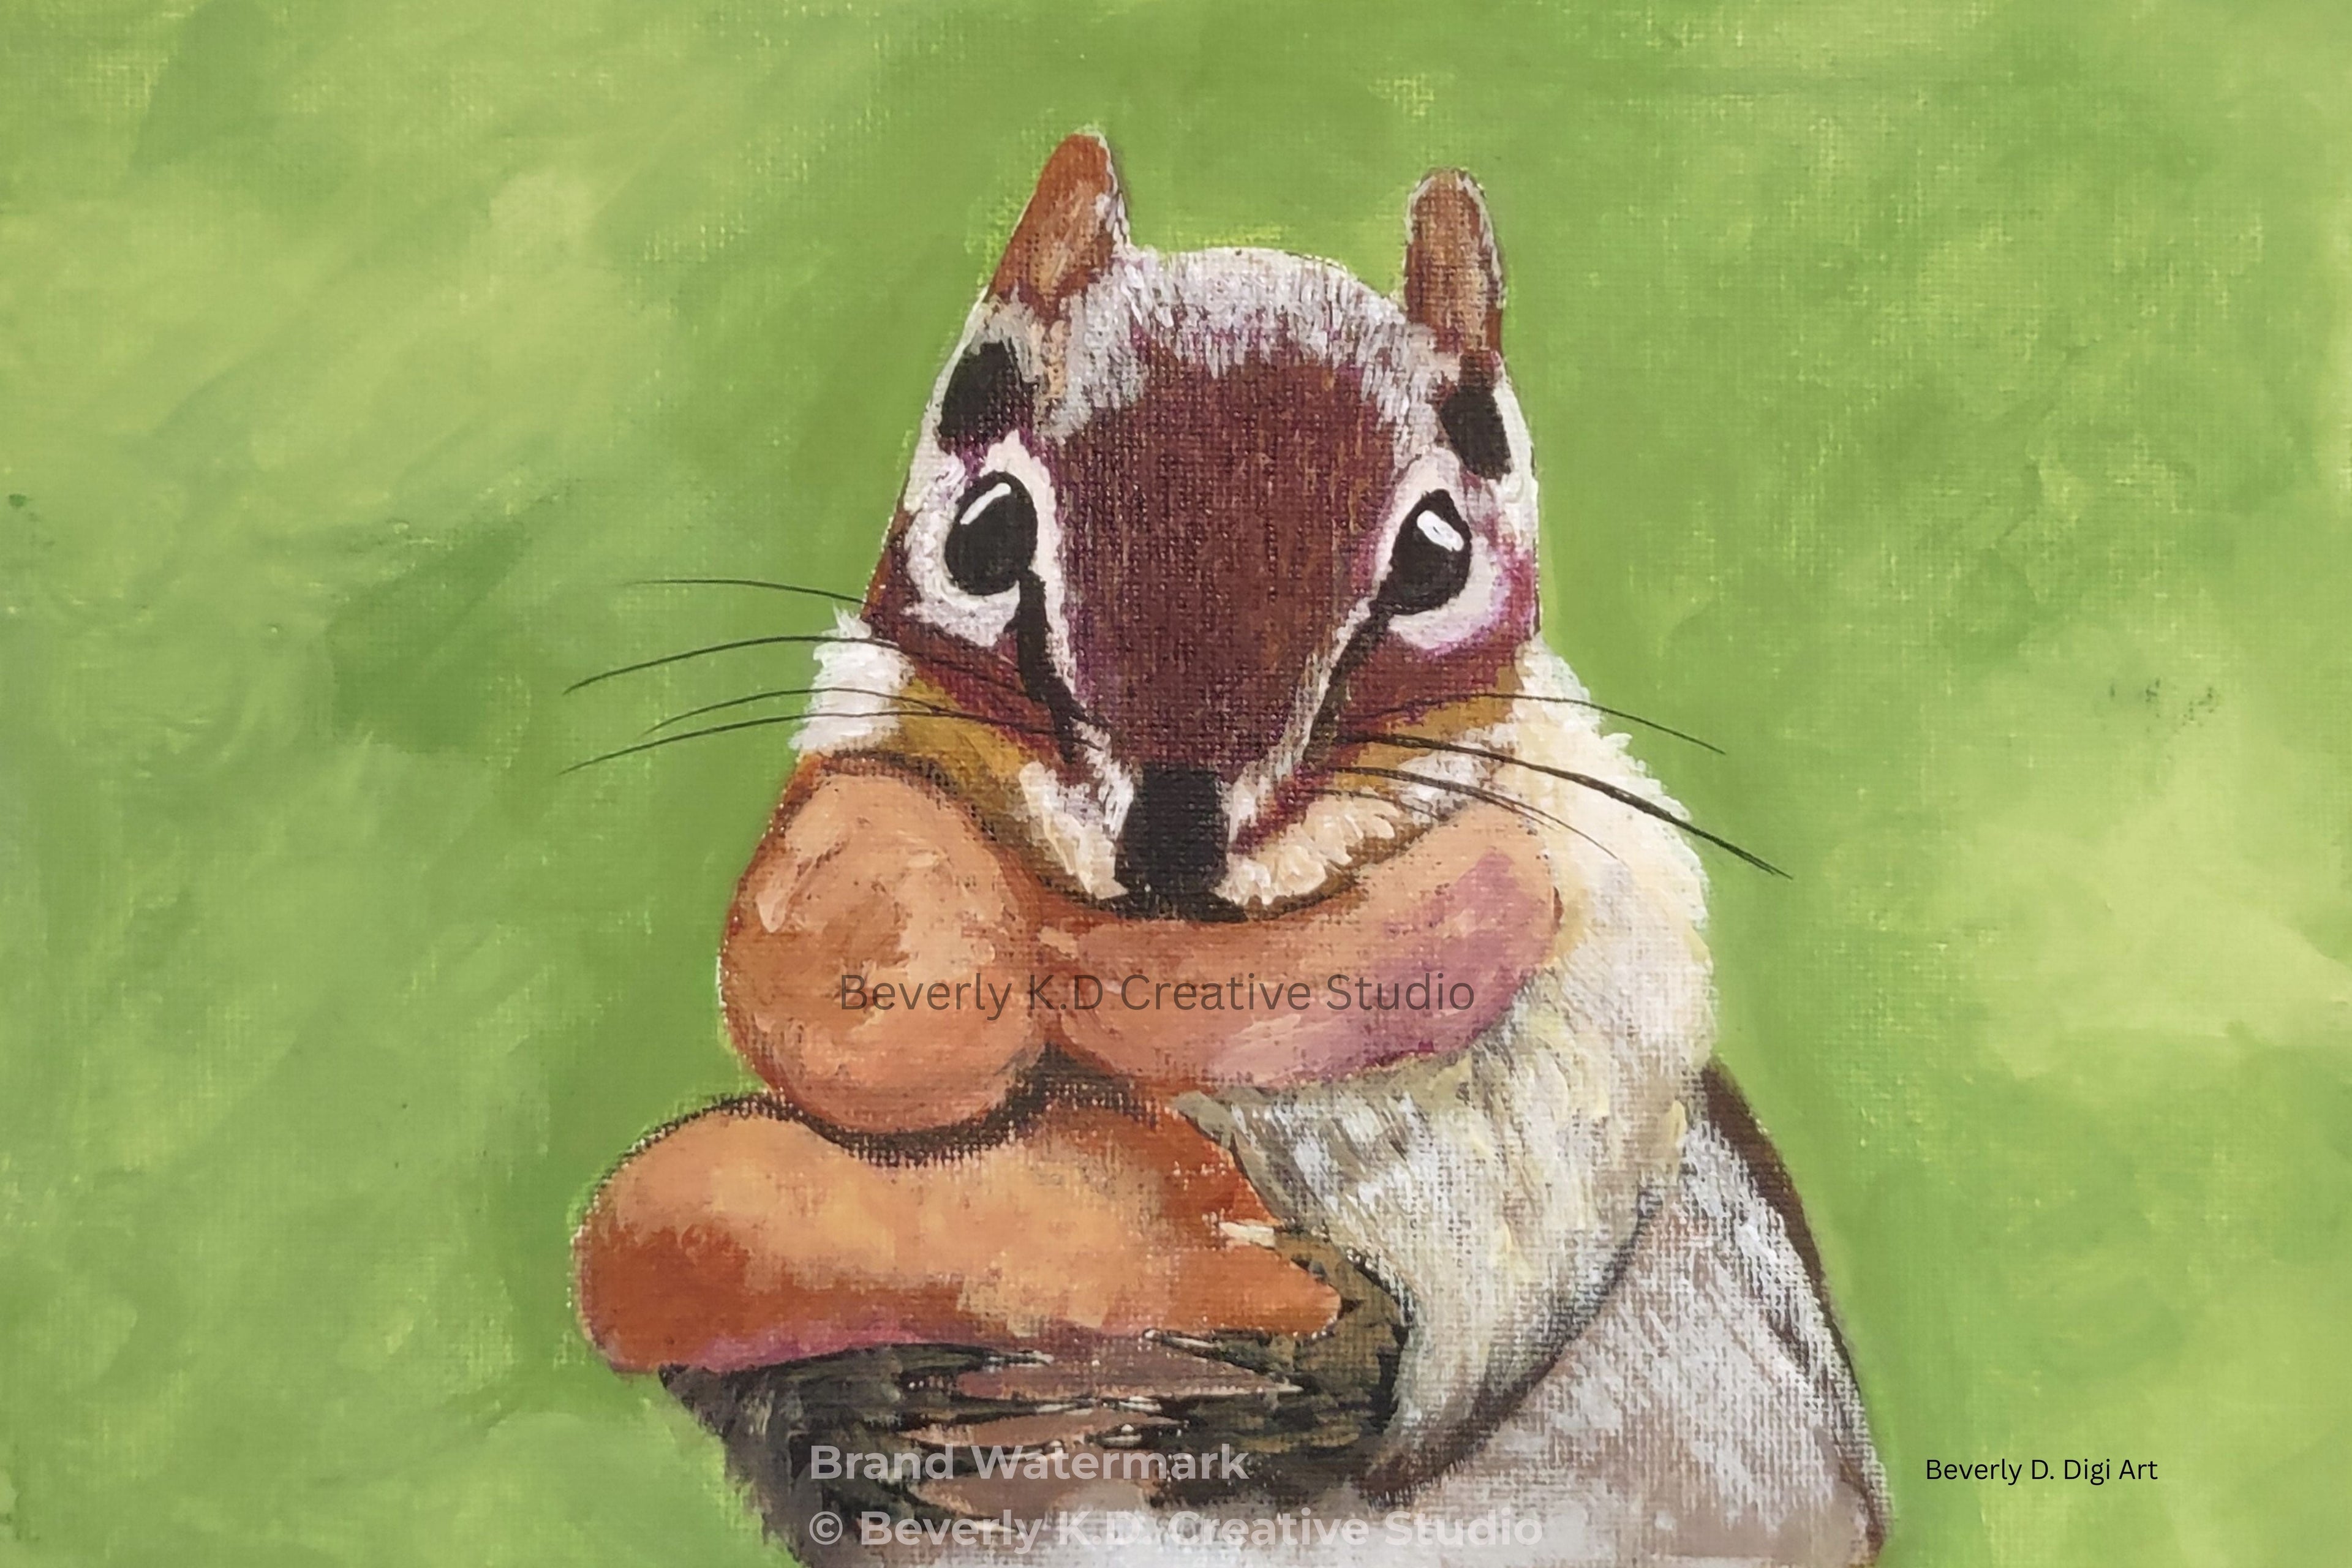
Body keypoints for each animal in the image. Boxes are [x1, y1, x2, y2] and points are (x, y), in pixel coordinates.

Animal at [573, 134, 1889, 1566]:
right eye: (984, 529)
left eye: (1439, 551)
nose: (1173, 829)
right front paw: (834, 1395)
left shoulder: (1608, 921)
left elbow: (1552, 1214)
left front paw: (1357, 1358)